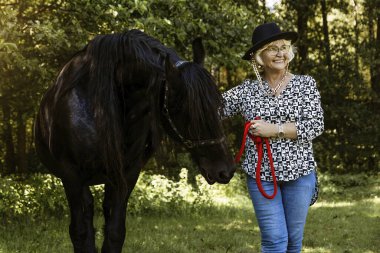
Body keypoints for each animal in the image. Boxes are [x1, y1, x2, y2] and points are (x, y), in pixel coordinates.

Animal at [34, 30, 235, 253]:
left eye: (218, 104)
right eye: (184, 110)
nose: (225, 170)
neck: (97, 106)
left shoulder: (127, 174)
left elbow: (115, 233)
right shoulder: (71, 176)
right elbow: (79, 232)